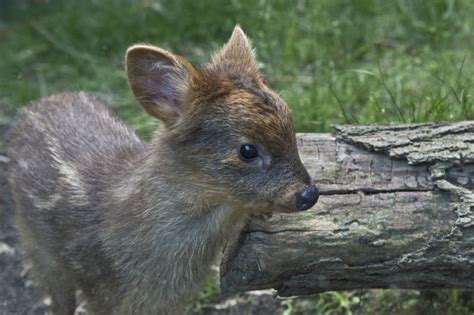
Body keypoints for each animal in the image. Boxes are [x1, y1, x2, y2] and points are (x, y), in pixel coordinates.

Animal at [6, 27, 318, 315]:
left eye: (291, 125)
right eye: (248, 150)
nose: (309, 194)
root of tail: (35, 105)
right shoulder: (101, 293)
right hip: (36, 246)